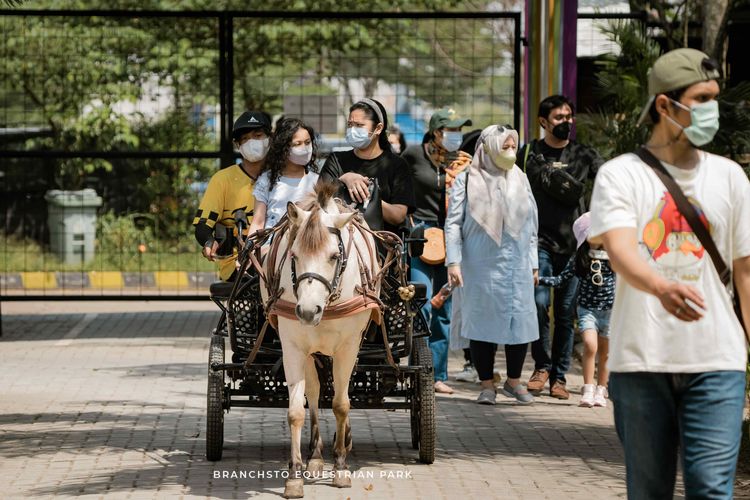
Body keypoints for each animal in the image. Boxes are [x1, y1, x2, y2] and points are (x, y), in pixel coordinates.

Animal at [262, 185, 384, 500]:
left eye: (333, 256)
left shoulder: (349, 345)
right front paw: (294, 476)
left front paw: (340, 467)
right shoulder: (293, 345)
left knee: (342, 390)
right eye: (294, 254)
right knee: (315, 392)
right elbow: (296, 410)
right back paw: (316, 456)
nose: (307, 311)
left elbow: (342, 404)